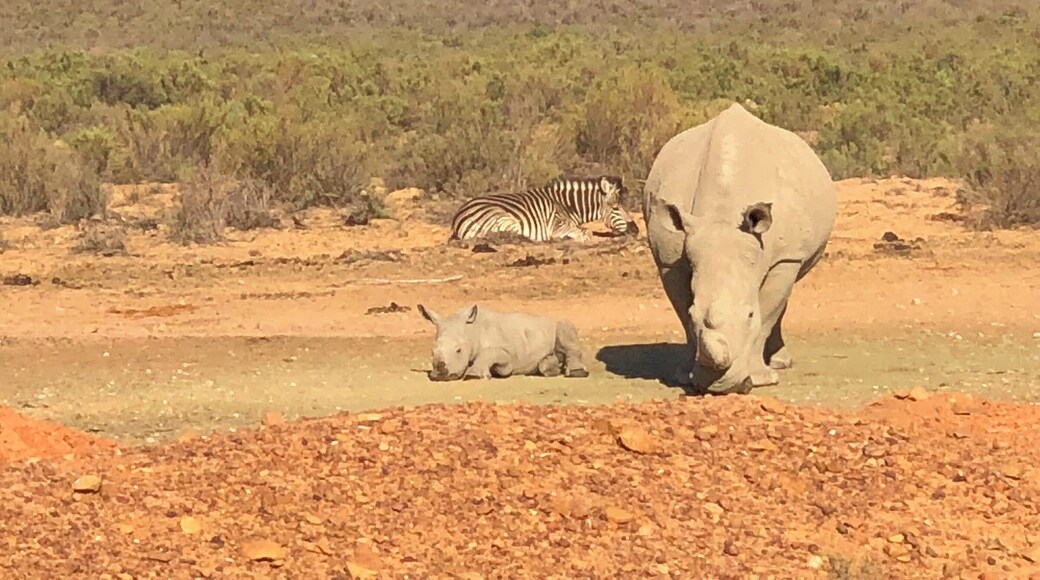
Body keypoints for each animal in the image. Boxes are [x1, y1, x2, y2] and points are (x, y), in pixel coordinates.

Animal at [417, 304, 590, 381]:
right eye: (432, 352)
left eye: (459, 350)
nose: (441, 375)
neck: (471, 331)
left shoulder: (508, 353)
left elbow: (492, 354)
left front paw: (476, 375)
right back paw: (549, 367)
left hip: (556, 324)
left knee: (565, 328)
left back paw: (576, 373)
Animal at [642, 103, 837, 395]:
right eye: (693, 314)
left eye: (749, 314)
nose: (721, 385)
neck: (722, 216)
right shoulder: (668, 259)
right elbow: (681, 311)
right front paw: (684, 375)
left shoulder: (785, 258)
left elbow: (767, 313)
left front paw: (760, 379)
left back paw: (779, 364)